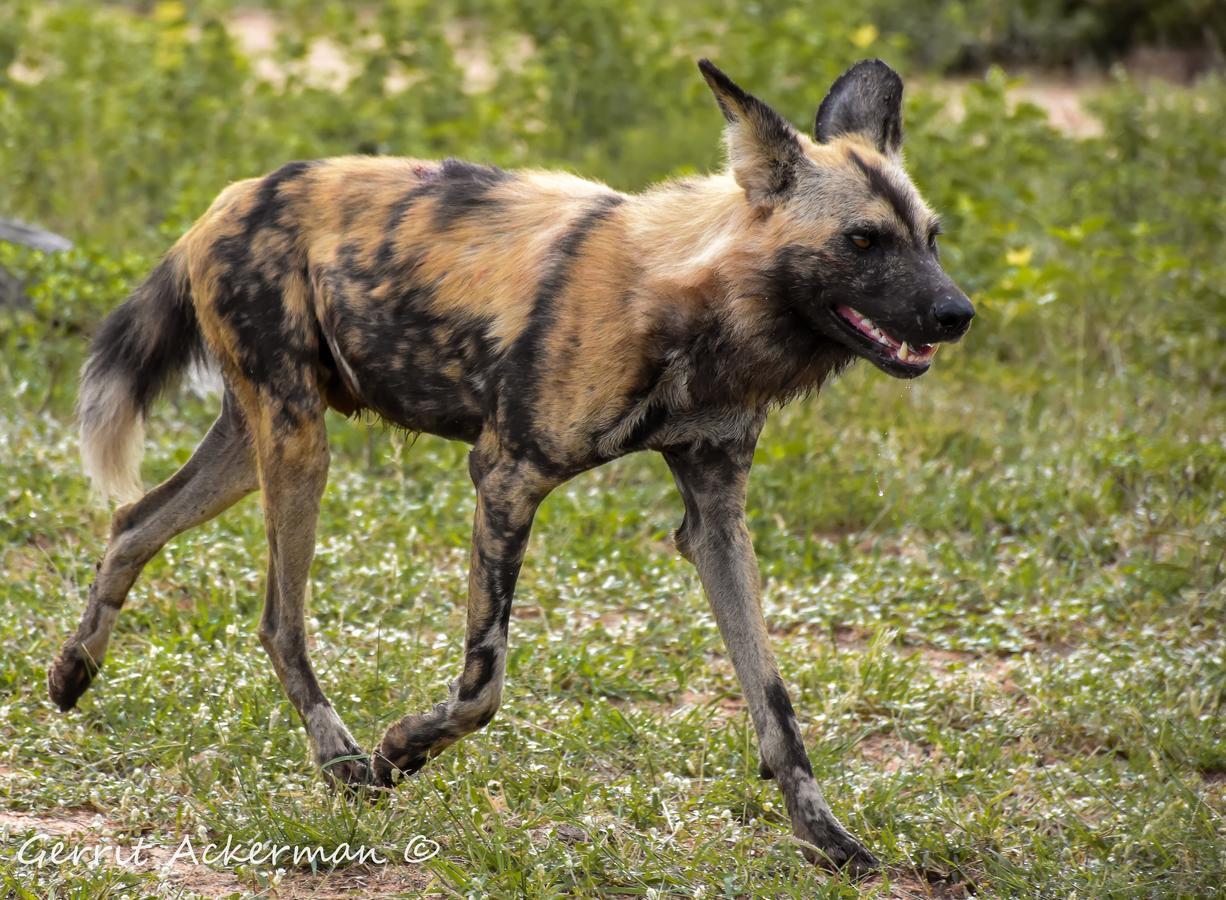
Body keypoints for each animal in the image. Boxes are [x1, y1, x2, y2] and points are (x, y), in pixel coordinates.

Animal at [50, 58, 975, 873]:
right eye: (863, 240)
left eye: (930, 239)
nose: (957, 313)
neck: (690, 306)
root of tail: (230, 197)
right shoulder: (506, 477)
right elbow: (482, 684)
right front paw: (397, 754)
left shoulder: (714, 516)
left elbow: (775, 705)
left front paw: (829, 840)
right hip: (298, 446)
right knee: (279, 618)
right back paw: (341, 760)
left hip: (259, 444)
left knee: (133, 521)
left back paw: (71, 674)